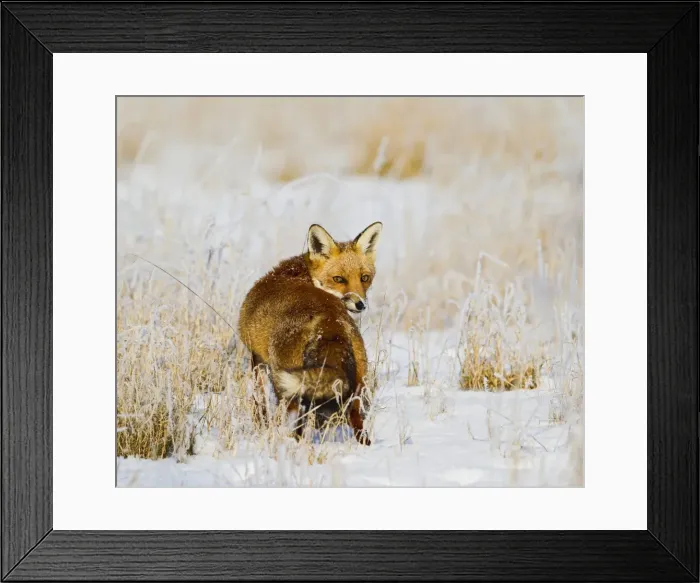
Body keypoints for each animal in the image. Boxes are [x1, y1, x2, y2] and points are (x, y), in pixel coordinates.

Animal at [237, 221, 383, 446]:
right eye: (339, 279)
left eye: (364, 278)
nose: (360, 304)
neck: (300, 273)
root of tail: (330, 322)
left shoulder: (257, 358)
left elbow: (259, 403)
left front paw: (261, 427)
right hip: (358, 385)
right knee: (358, 425)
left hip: (287, 386)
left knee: (293, 425)